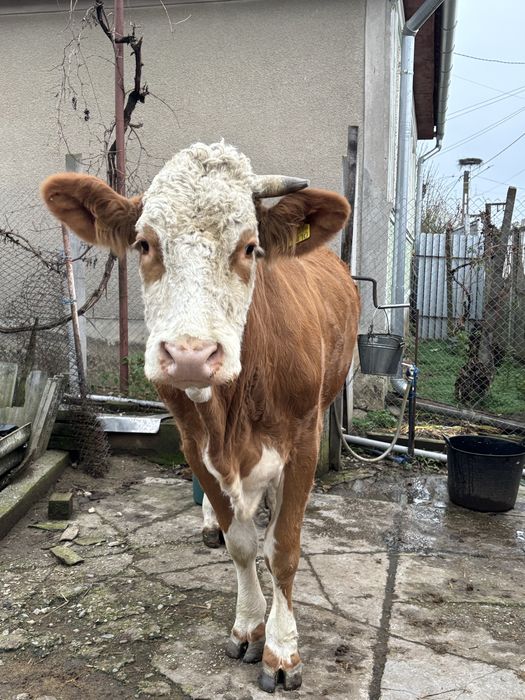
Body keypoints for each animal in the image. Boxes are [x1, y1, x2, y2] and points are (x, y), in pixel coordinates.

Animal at [41, 142, 360, 693]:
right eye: (144, 244)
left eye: (250, 247)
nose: (191, 356)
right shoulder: (194, 442)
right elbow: (241, 545)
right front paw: (249, 627)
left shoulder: (304, 438)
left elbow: (283, 549)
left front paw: (282, 651)